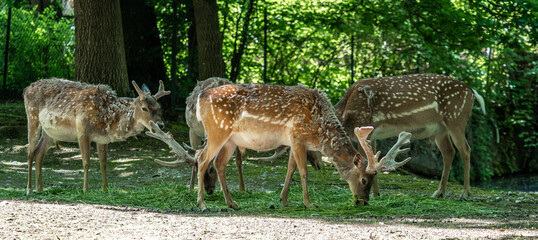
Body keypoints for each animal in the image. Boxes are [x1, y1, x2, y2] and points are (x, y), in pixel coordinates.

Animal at [23, 79, 169, 195]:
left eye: (158, 107)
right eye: (144, 108)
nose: (160, 125)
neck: (107, 118)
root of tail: (26, 89)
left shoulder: (102, 139)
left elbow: (103, 164)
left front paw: (105, 189)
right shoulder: (83, 132)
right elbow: (86, 163)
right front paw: (85, 190)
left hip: (50, 132)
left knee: (39, 152)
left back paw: (40, 188)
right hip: (32, 117)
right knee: (30, 152)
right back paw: (29, 189)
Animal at [144, 83, 408, 210]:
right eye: (364, 179)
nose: (363, 201)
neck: (319, 130)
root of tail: (200, 98)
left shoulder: (292, 141)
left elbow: (290, 169)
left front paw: (283, 200)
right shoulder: (297, 136)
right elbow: (303, 171)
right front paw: (309, 202)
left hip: (231, 139)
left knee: (218, 164)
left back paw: (232, 203)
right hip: (217, 131)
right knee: (200, 158)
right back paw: (203, 203)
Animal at [330, 73, 486, 199]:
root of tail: (472, 92)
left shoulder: (364, 125)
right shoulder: (372, 134)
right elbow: (372, 162)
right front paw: (376, 194)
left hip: (456, 119)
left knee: (465, 150)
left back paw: (465, 193)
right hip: (440, 129)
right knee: (449, 151)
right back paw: (439, 192)